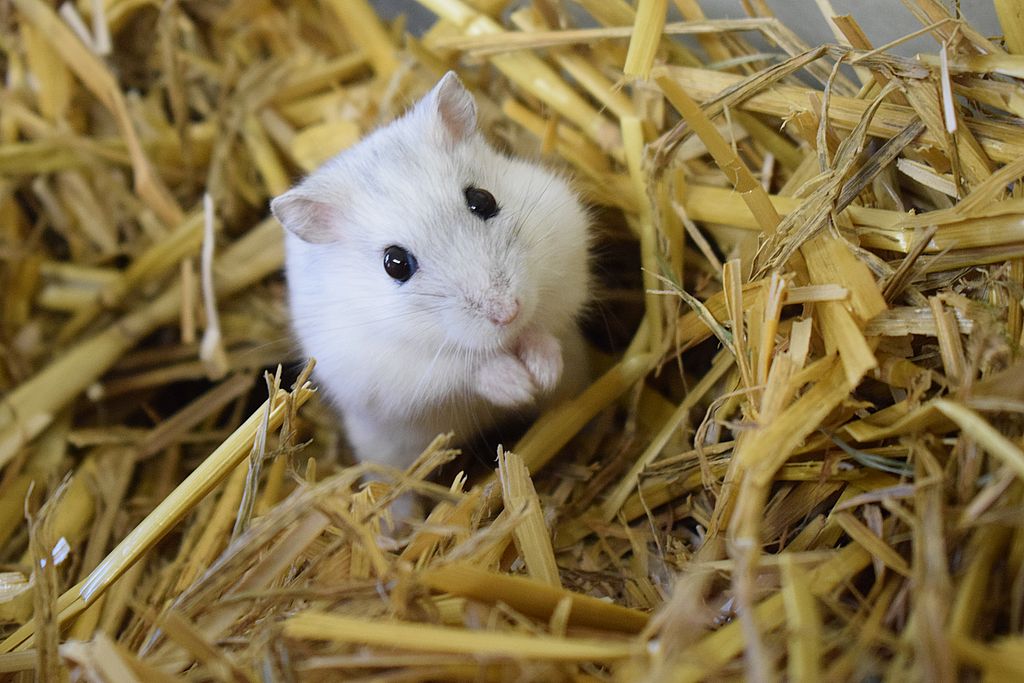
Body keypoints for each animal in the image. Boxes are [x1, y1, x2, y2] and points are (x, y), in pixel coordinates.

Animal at [271, 72, 591, 476]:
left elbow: (544, 325)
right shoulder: (392, 367)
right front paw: (518, 385)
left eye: (483, 200)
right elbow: (465, 369)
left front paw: (542, 375)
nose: (507, 313)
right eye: (395, 263)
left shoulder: (566, 256)